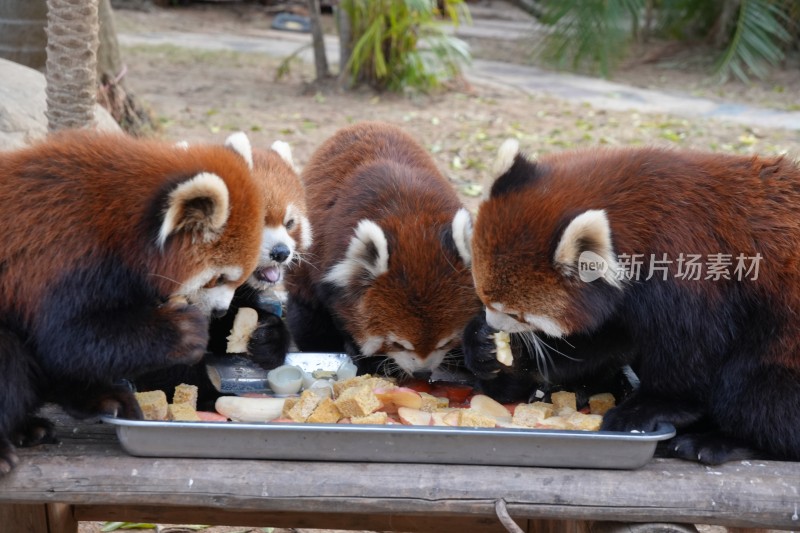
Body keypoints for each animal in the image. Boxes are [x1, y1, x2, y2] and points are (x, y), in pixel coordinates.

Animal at [0, 130, 264, 474]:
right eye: (217, 279)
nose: (219, 311)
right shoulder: (64, 257)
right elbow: (67, 339)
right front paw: (184, 331)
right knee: (10, 355)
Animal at [462, 139, 800, 464]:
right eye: (483, 296)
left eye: (517, 314)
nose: (491, 323)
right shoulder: (622, 304)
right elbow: (601, 341)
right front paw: (487, 349)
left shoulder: (692, 278)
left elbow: (692, 354)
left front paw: (648, 408)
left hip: (781, 338)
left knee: (756, 392)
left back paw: (719, 442)